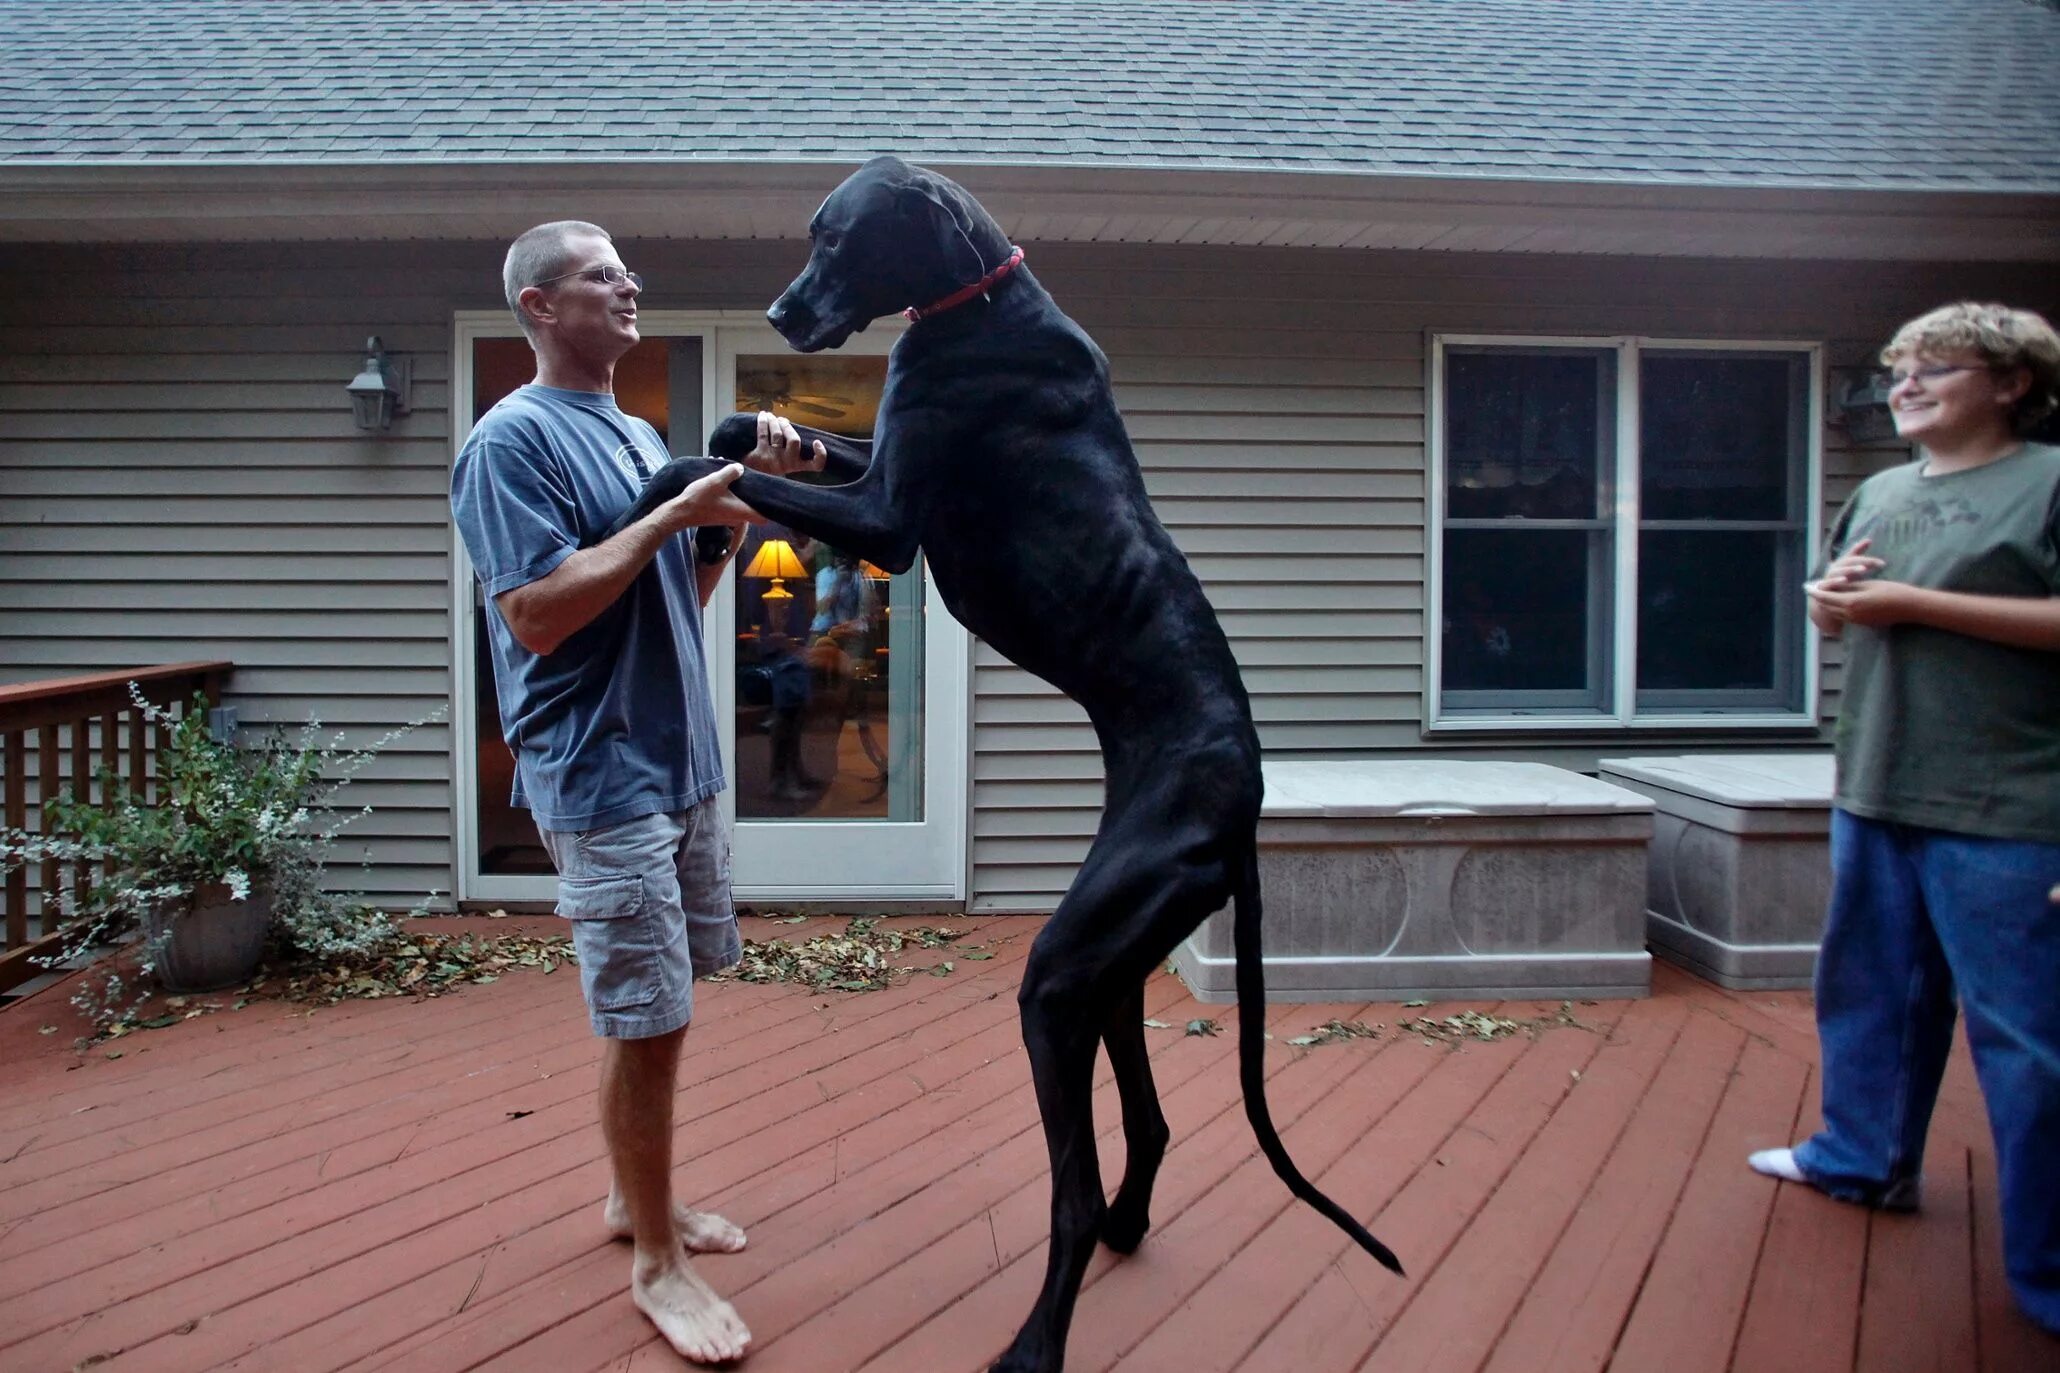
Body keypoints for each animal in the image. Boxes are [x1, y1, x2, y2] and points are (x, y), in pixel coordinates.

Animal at [601, 158, 1400, 1373]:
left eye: (838, 239)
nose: (781, 313)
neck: (974, 300)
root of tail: (1245, 811)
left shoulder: (889, 516)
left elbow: (714, 467)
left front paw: (665, 489)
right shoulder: (876, 456)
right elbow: (754, 437)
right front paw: (747, 420)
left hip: (1061, 976)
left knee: (1069, 1187)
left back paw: (1037, 1340)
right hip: (1112, 960)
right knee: (1149, 1119)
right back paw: (1127, 1227)